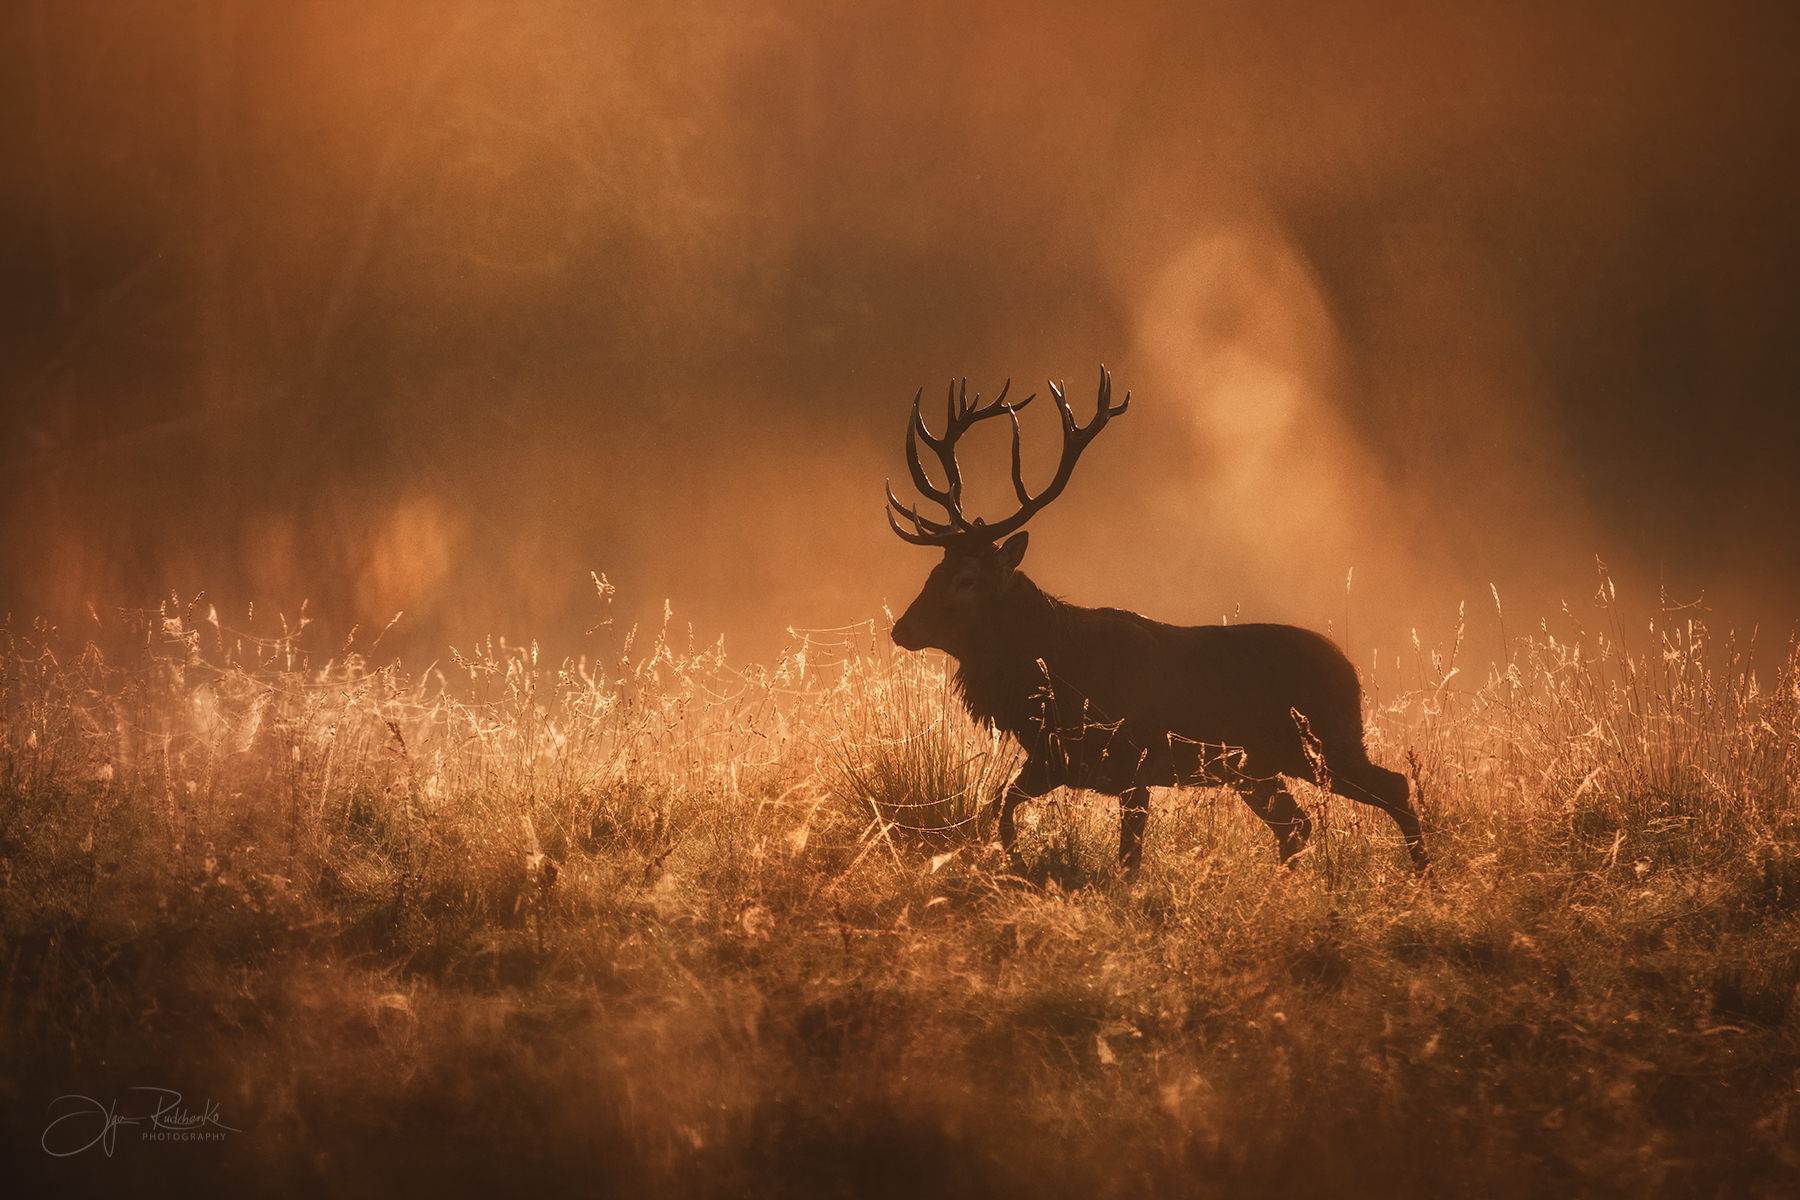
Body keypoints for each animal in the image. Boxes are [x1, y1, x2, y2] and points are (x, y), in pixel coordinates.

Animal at [889, 367, 1432, 874]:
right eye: (935, 571)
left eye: (966, 580)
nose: (902, 629)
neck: (1050, 679)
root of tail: (1351, 672)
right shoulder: (1052, 761)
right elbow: (1000, 807)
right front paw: (1019, 869)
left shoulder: (1136, 762)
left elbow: (1128, 859)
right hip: (1259, 767)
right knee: (1296, 824)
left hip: (1321, 744)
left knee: (1394, 786)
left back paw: (1423, 875)